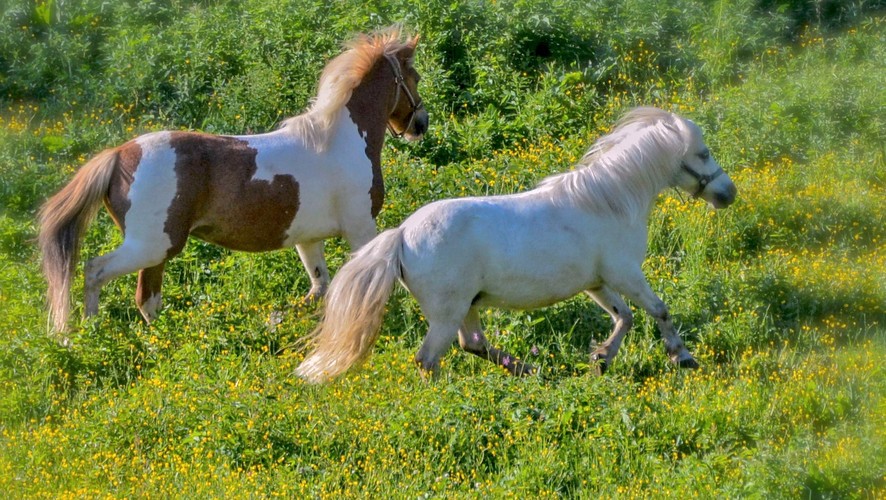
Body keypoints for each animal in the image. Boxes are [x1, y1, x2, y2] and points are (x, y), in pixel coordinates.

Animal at [40, 28, 428, 336]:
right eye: (416, 77)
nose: (420, 124)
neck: (340, 138)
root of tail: (119, 154)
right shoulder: (360, 228)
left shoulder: (308, 238)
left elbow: (319, 286)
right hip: (151, 246)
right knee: (96, 271)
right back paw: (89, 331)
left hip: (156, 249)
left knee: (146, 298)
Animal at [296, 107, 736, 382]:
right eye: (703, 152)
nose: (728, 194)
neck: (608, 201)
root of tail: (401, 234)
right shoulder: (625, 273)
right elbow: (658, 309)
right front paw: (683, 357)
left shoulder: (597, 282)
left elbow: (623, 317)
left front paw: (600, 360)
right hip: (447, 313)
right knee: (428, 359)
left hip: (468, 306)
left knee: (472, 344)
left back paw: (530, 371)